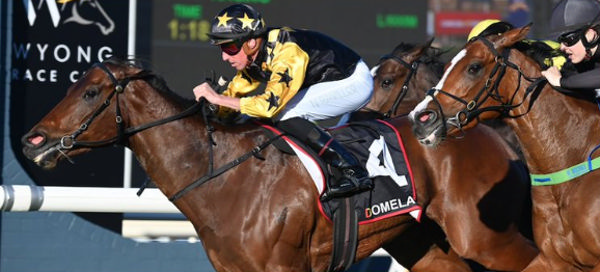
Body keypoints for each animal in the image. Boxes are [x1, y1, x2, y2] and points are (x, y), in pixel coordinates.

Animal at [22, 58, 536, 270]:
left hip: (487, 239)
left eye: (91, 92)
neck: (221, 176)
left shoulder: (284, 268)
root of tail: (495, 135)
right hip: (424, 244)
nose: (32, 140)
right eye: (73, 85)